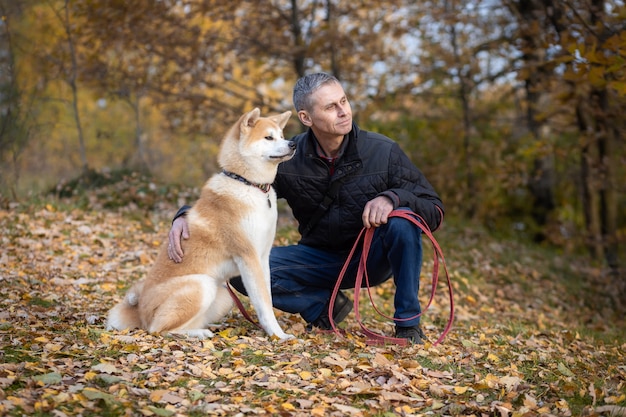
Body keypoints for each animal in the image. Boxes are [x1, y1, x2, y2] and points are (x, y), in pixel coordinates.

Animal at [105, 107, 294, 338]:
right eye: (269, 137)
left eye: (282, 136)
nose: (293, 144)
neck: (248, 184)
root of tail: (139, 313)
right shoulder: (249, 257)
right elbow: (264, 304)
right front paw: (278, 335)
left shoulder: (262, 257)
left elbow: (266, 297)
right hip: (201, 285)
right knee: (158, 329)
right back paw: (199, 334)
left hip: (223, 295)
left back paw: (206, 329)